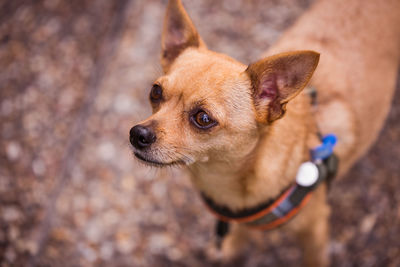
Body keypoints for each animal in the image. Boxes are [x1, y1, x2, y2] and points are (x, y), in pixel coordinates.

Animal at [130, 1, 400, 266]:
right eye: (155, 92)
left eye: (203, 118)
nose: (137, 134)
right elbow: (242, 230)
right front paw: (232, 247)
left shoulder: (315, 231)